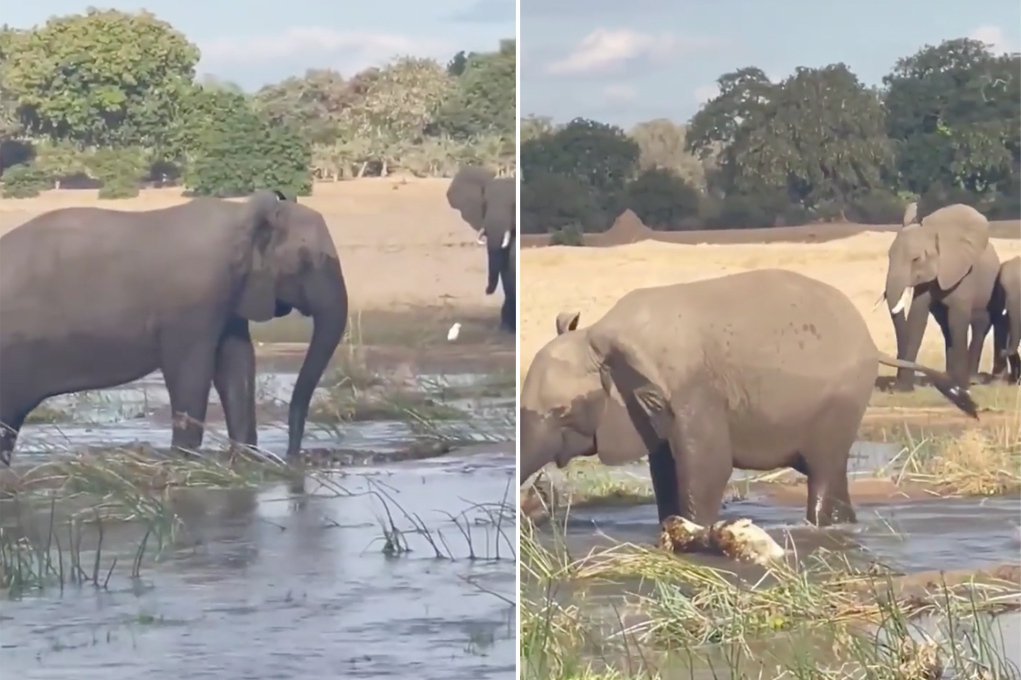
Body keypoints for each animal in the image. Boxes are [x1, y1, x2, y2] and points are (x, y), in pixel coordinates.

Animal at [522, 267, 976, 526]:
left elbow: (708, 469)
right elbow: (665, 470)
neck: (602, 332)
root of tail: (871, 346)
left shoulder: (693, 390)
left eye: (560, 411)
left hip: (843, 396)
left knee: (824, 470)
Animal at [882, 201, 1000, 390]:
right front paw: (902, 390)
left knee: (979, 325)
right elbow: (917, 318)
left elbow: (958, 321)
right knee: (946, 327)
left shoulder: (963, 274)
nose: (893, 385)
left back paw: (971, 380)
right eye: (889, 256)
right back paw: (949, 378)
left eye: (916, 259)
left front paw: (961, 388)